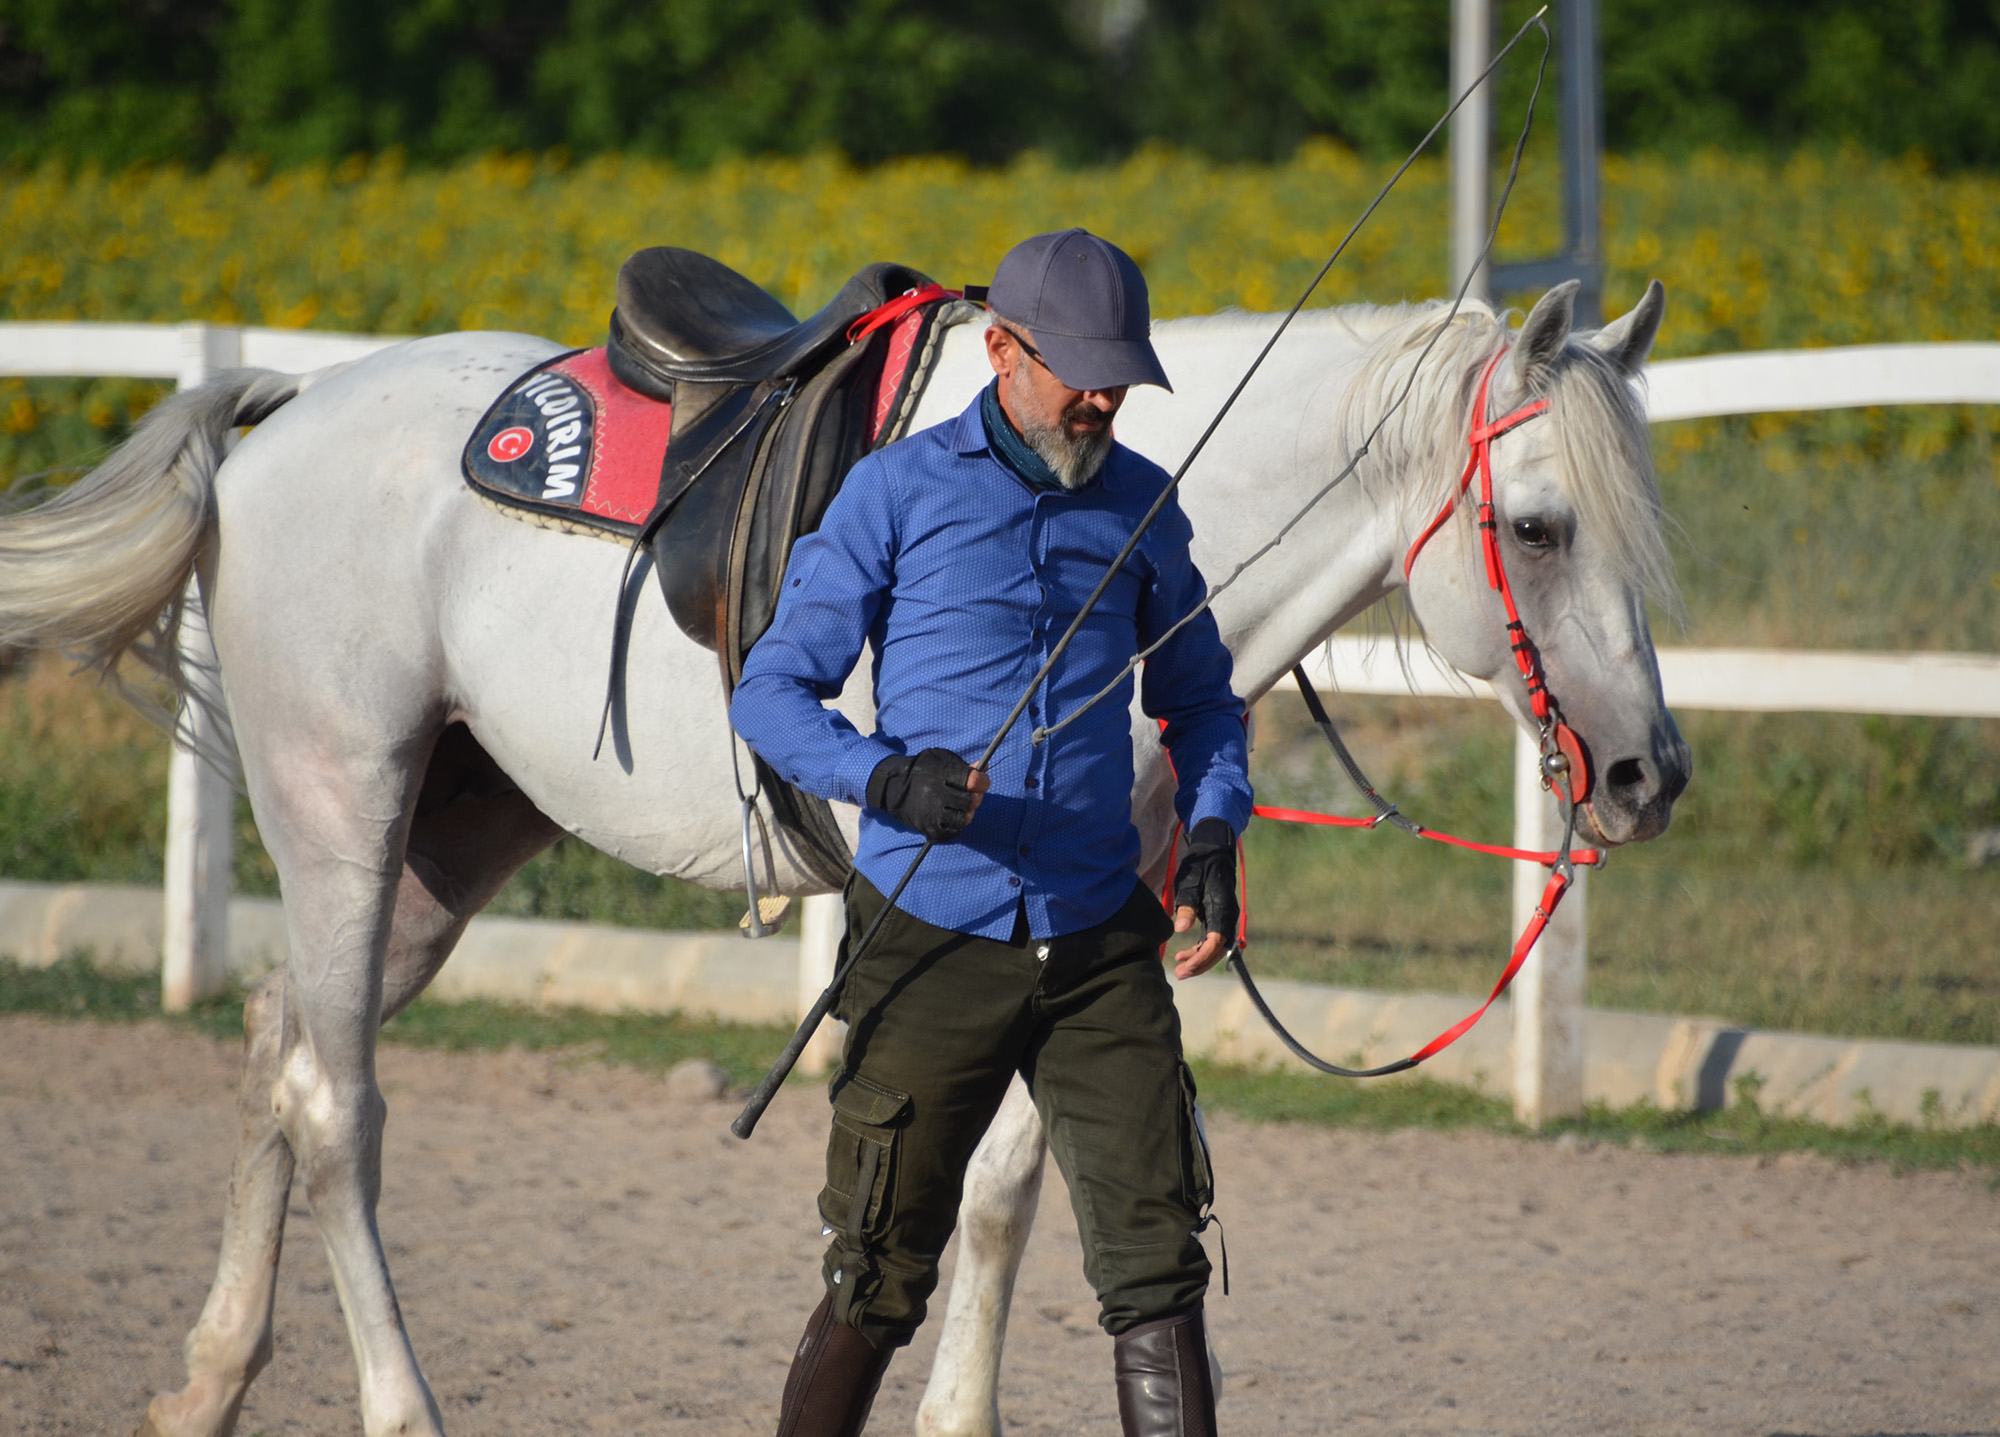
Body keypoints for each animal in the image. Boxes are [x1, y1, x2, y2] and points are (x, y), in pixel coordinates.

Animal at [0, 275, 1687, 1437]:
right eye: (1540, 526)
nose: (1646, 775)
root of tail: (286, 411)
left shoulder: (1093, 931)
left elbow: (1017, 1191)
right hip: (340, 803)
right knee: (339, 1104)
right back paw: (397, 1406)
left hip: (441, 843)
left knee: (280, 1044)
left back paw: (210, 1381)